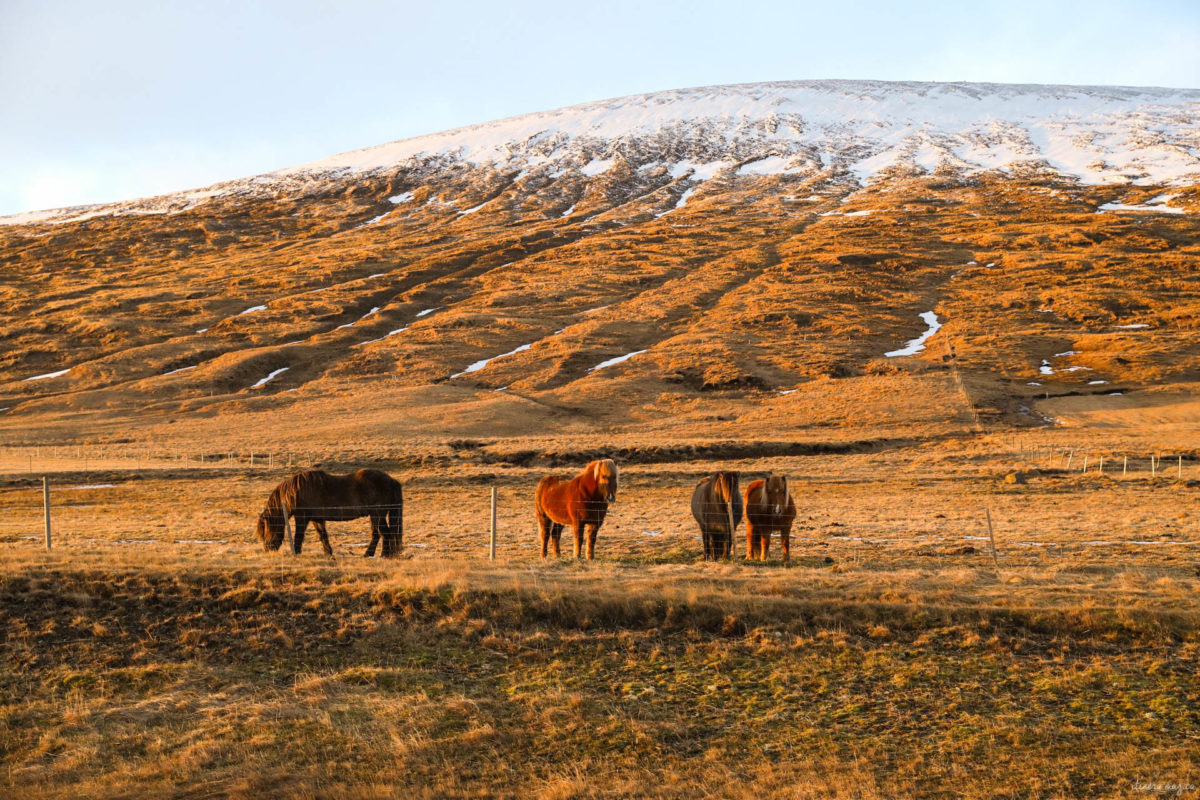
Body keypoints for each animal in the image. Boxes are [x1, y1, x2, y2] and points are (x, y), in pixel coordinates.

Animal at [255, 470, 405, 556]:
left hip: (377, 515)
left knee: (386, 534)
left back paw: (384, 555)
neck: (297, 492)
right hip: (375, 516)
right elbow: (323, 535)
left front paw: (296, 553)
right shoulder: (317, 519)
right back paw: (368, 554)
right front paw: (329, 553)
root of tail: (392, 480)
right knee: (377, 535)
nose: (268, 549)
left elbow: (299, 536)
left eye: (266, 530)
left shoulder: (302, 517)